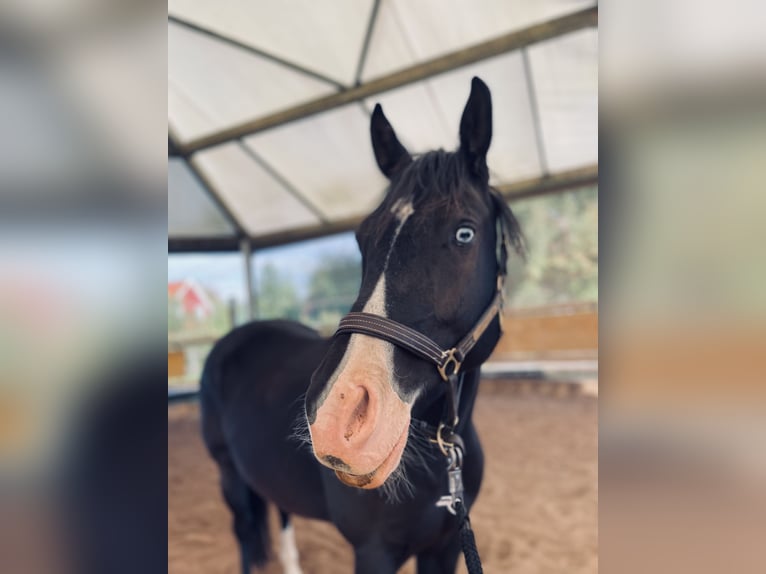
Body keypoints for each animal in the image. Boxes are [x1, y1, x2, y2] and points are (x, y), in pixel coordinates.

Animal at [201, 77, 528, 574]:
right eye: (361, 237)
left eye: (464, 233)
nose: (340, 416)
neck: (437, 465)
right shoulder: (374, 552)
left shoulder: (445, 547)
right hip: (228, 477)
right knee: (244, 534)